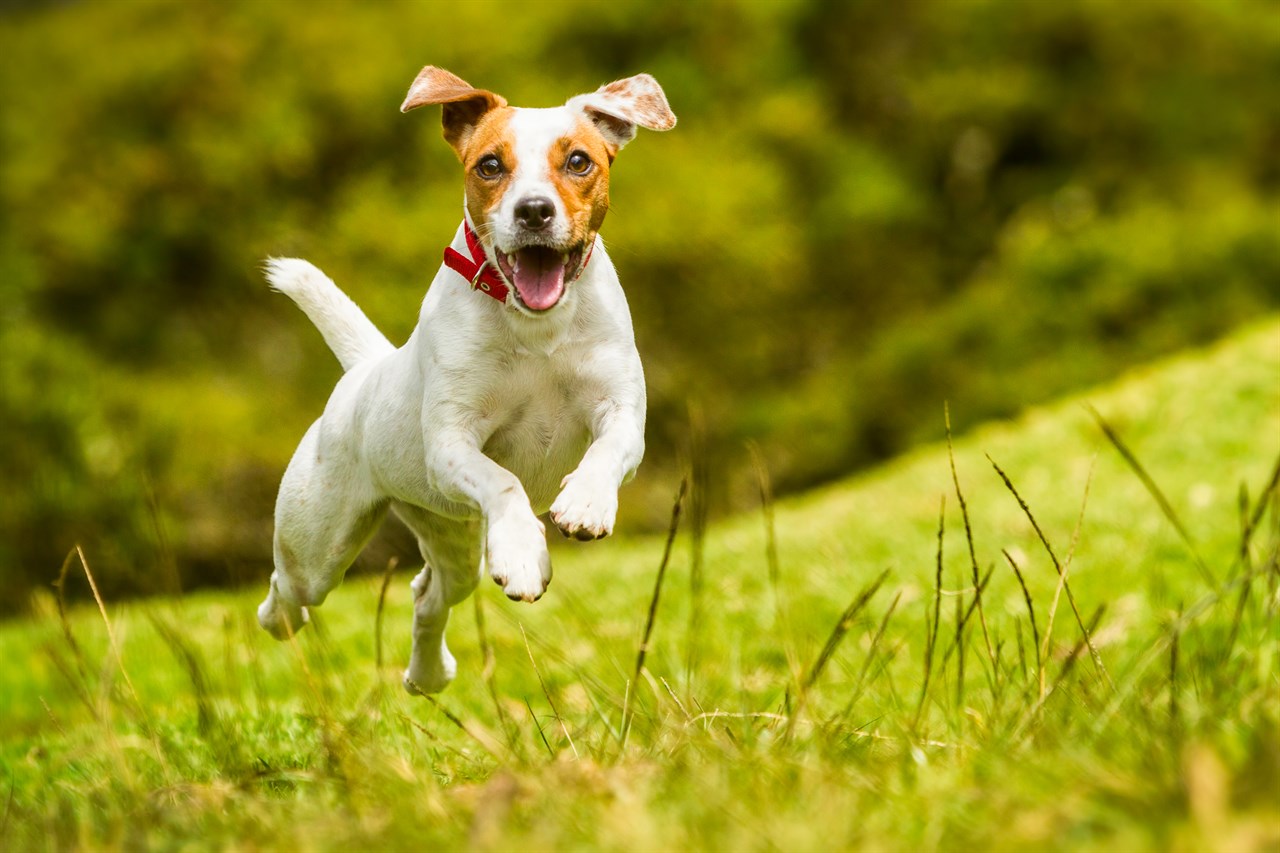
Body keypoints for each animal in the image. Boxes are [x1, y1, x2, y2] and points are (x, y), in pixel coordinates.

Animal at [253, 64, 675, 691]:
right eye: (490, 165)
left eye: (578, 160)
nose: (533, 211)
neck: (536, 327)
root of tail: (366, 369)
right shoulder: (452, 444)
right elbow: (503, 481)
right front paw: (523, 552)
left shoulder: (621, 410)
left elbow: (607, 450)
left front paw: (585, 504)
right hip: (319, 544)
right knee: (289, 590)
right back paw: (281, 619)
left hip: (450, 536)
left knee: (427, 593)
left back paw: (428, 674)